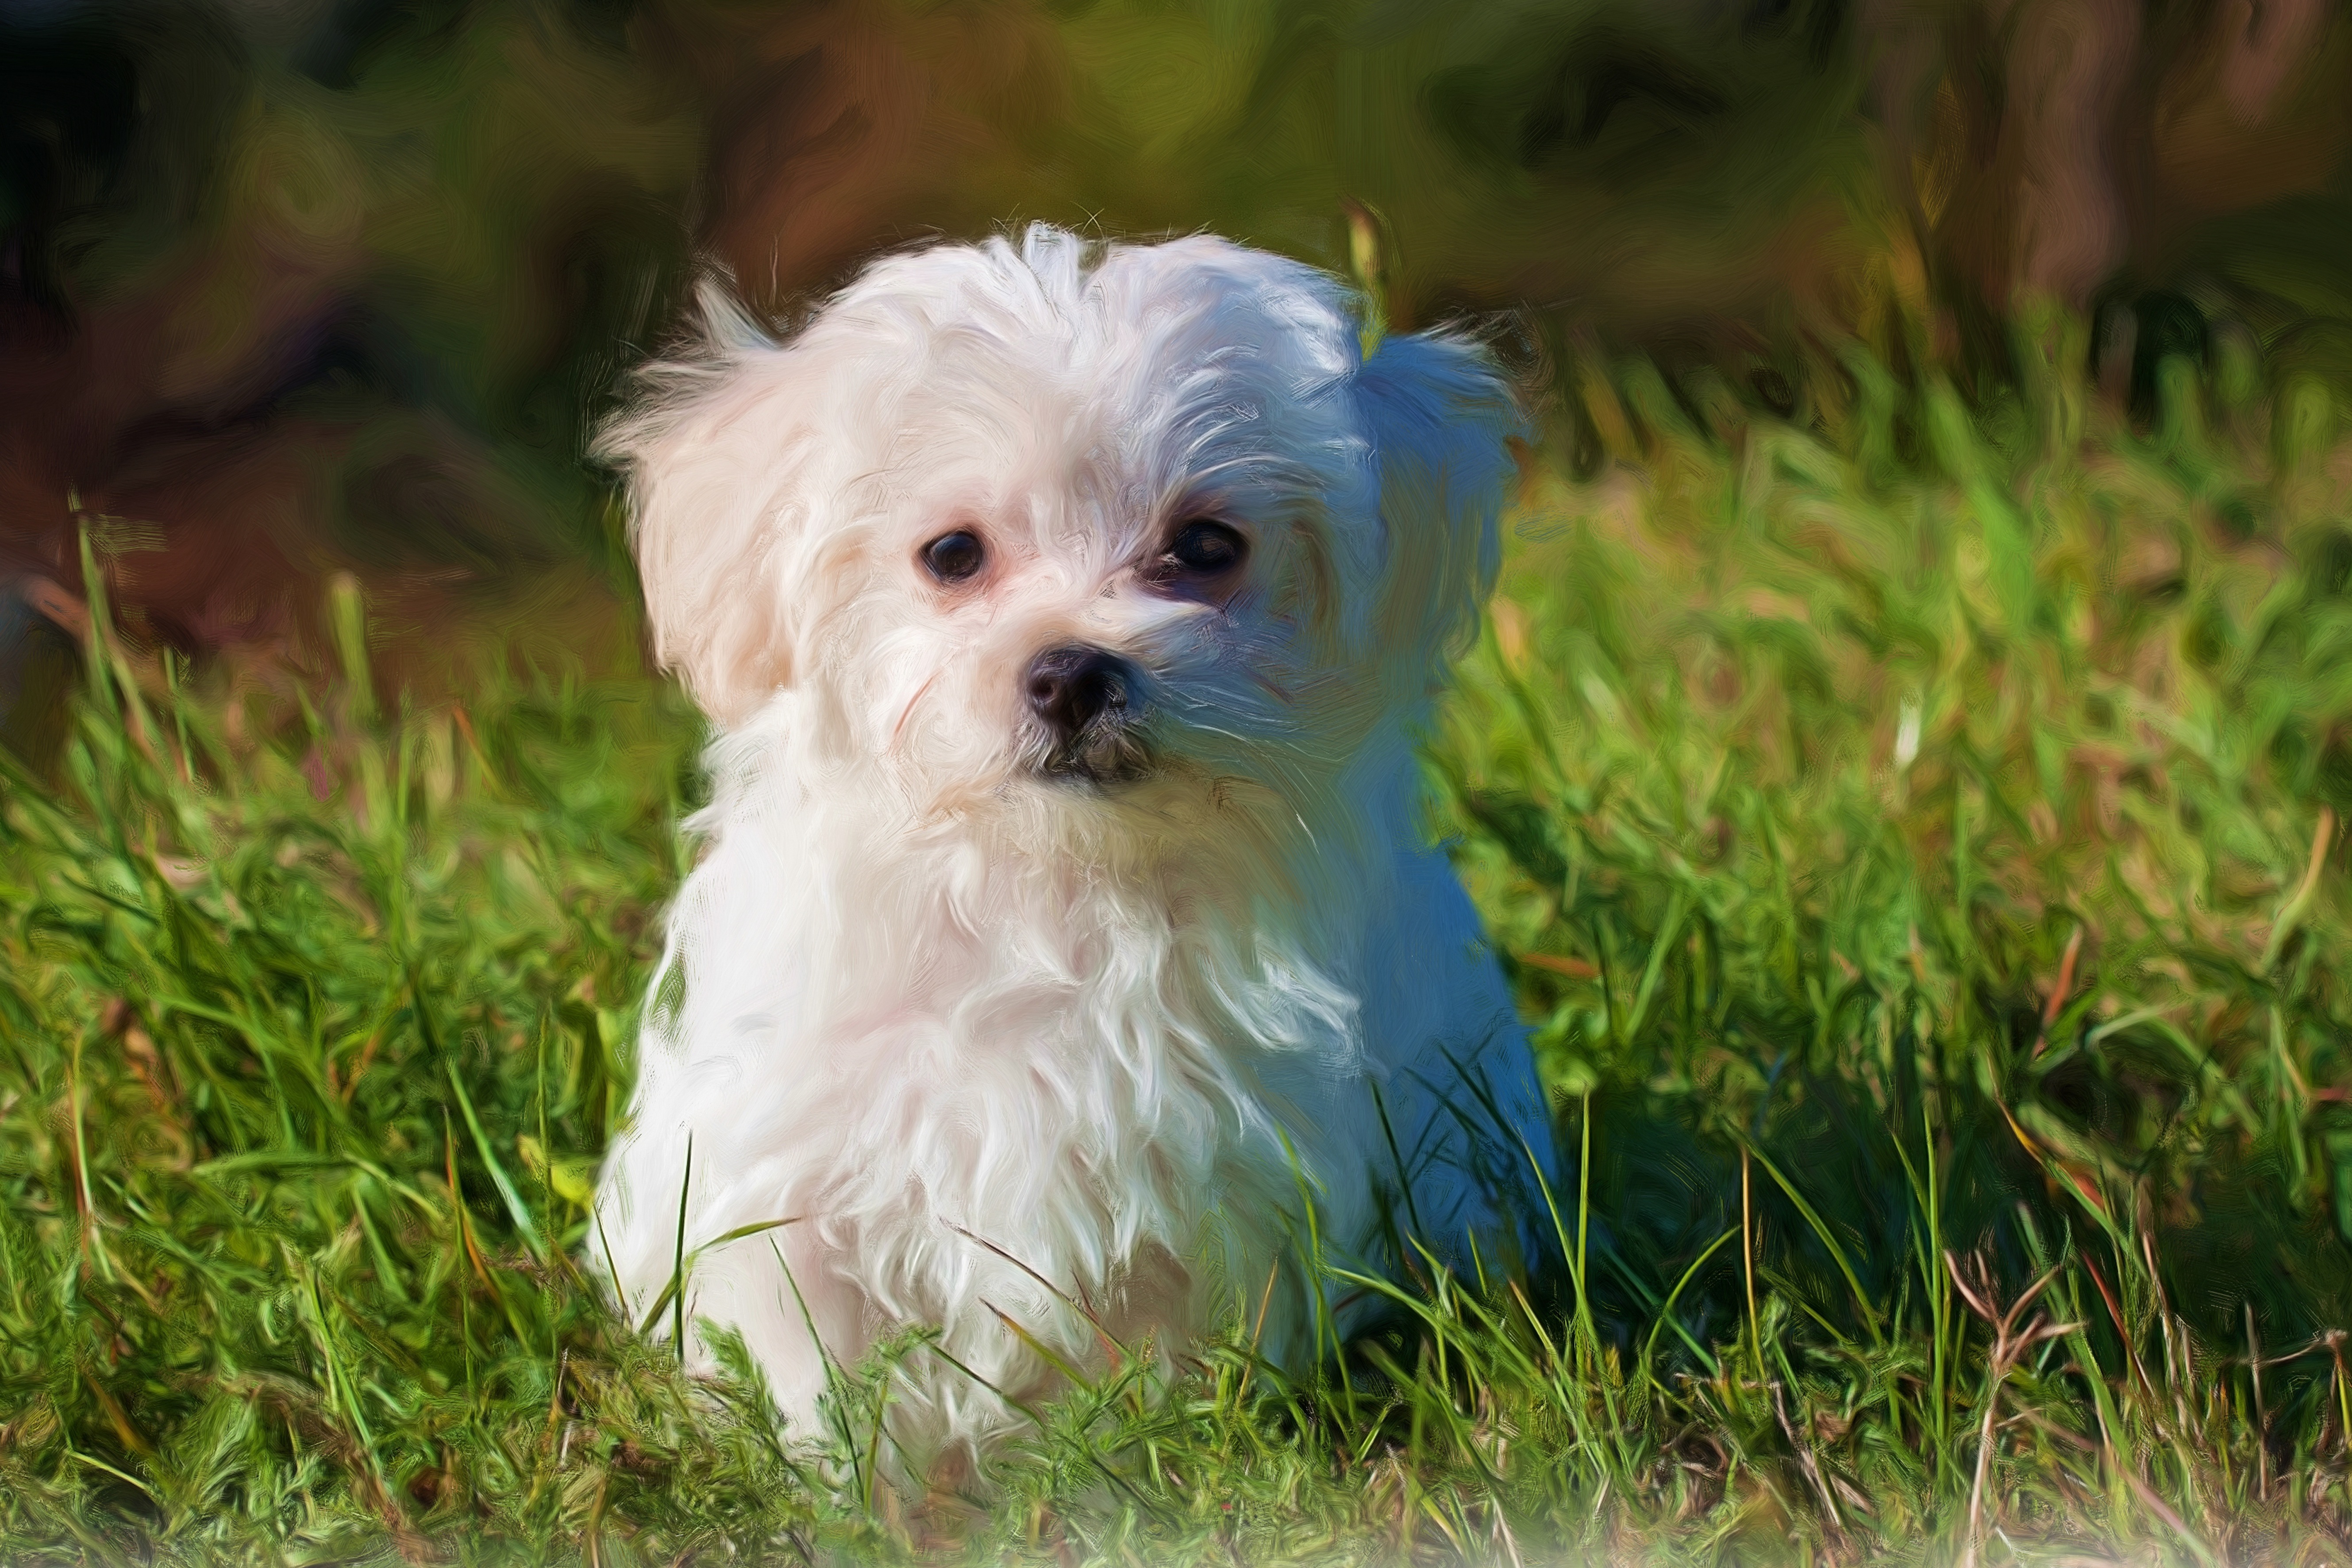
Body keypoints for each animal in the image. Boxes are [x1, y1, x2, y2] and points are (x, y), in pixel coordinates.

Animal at [597, 221, 1562, 1476]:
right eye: (950, 554)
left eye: (1205, 545)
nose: (1069, 672)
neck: (1051, 885)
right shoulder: (788, 1159)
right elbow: (816, 1357)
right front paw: (854, 1485)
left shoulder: (1218, 1182)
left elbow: (1165, 1357)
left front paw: (1138, 1473)